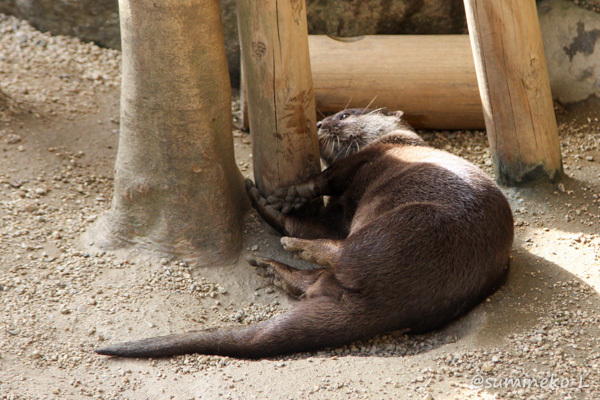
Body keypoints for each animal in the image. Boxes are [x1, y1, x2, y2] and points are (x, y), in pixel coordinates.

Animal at [96, 108, 512, 360]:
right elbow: (320, 214)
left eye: (345, 114)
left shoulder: (368, 157)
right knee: (318, 279)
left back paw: (294, 246)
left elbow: (326, 177)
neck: (402, 144)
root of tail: (399, 305)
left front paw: (290, 194)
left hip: (413, 224)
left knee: (343, 252)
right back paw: (274, 263)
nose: (322, 123)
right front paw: (277, 202)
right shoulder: (341, 207)